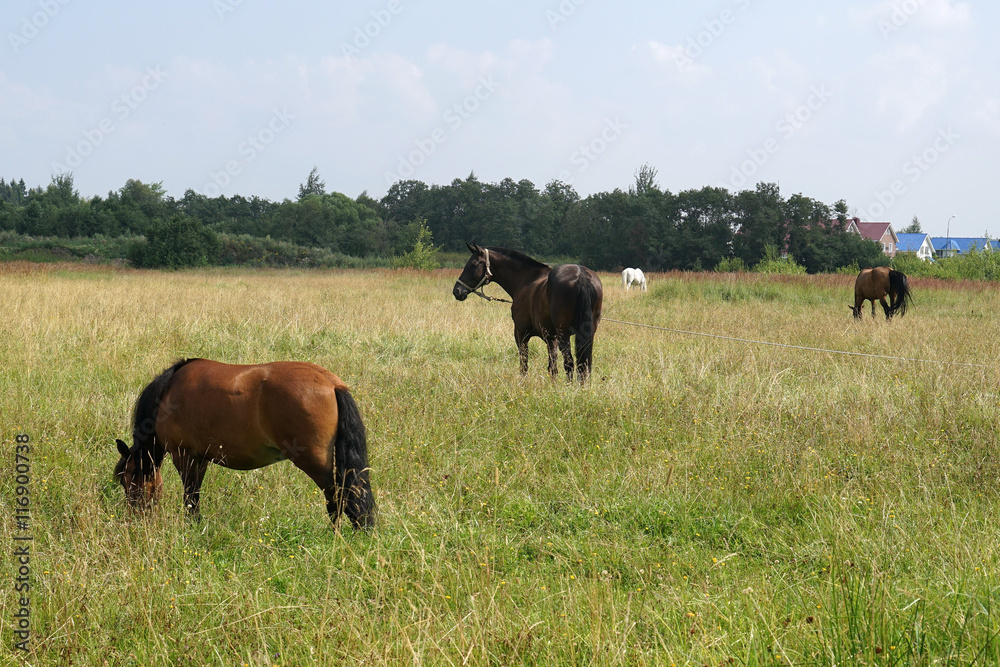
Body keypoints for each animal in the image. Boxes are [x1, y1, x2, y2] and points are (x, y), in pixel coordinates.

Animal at [114, 358, 375, 529]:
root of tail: (331, 383)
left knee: (337, 497)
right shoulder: (201, 457)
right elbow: (195, 493)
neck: (167, 395)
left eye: (128, 481)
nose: (133, 520)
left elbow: (190, 495)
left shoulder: (184, 455)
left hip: (315, 463)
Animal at [453, 242, 603, 382]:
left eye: (473, 264)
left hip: (563, 334)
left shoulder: (521, 333)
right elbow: (552, 367)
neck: (527, 279)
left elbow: (524, 364)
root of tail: (581, 276)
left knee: (569, 363)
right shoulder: (551, 338)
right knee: (584, 365)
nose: (457, 290)